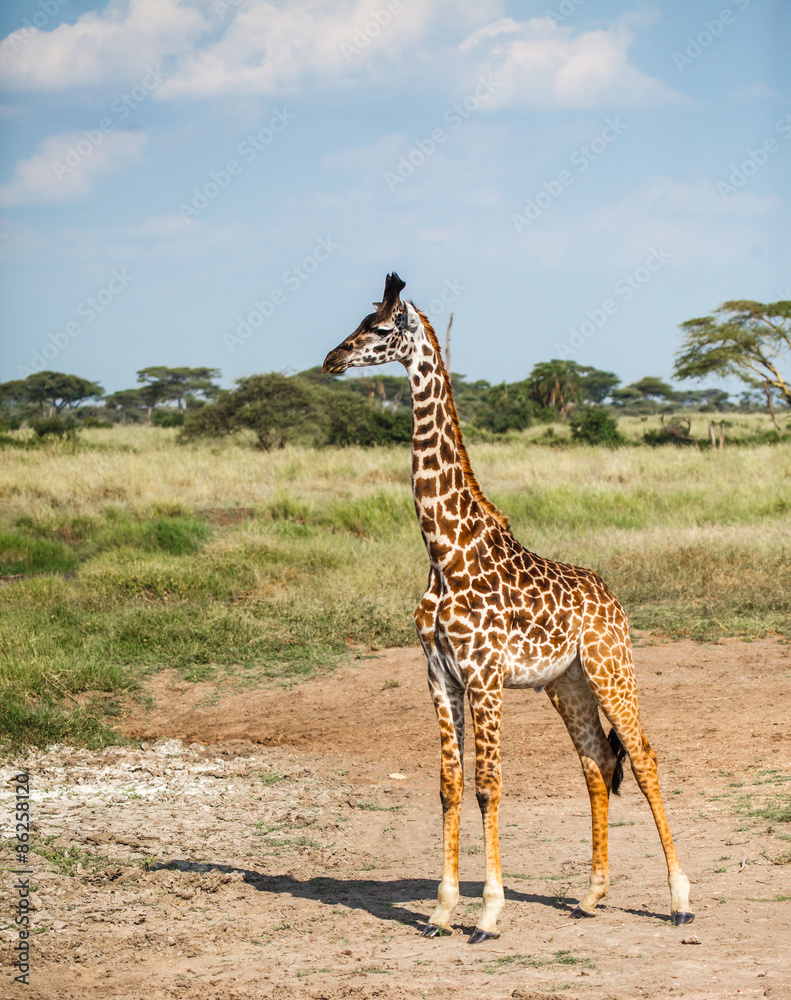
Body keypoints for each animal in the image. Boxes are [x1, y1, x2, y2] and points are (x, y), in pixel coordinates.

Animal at [323, 273, 694, 944]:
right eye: (359, 322)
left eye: (381, 328)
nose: (332, 360)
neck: (444, 549)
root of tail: (614, 598)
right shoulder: (440, 676)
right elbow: (449, 785)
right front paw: (442, 910)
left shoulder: (485, 677)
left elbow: (488, 787)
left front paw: (489, 914)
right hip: (567, 683)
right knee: (597, 762)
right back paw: (591, 895)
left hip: (612, 667)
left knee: (645, 757)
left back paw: (680, 899)